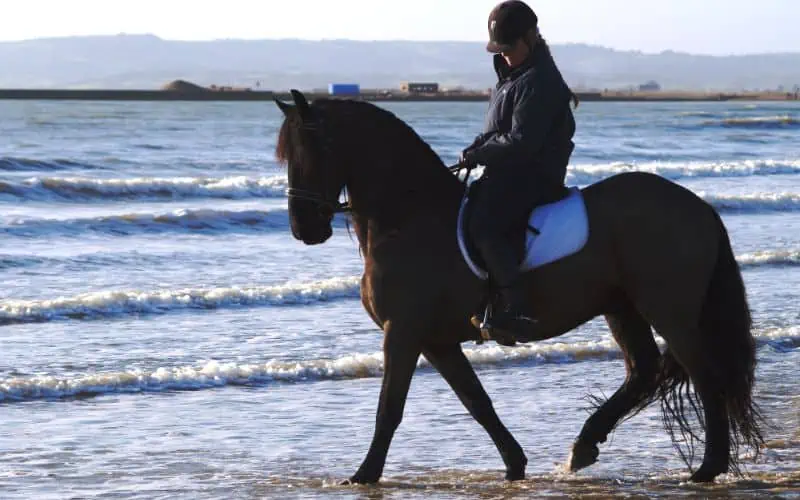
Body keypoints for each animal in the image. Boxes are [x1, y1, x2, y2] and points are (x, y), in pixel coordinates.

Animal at [272, 90, 764, 484]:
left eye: (313, 147)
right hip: (621, 306)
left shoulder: (404, 332)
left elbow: (389, 407)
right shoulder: (436, 340)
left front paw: (364, 475)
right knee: (644, 371)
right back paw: (584, 446)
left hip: (667, 308)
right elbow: (477, 401)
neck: (408, 217)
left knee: (704, 375)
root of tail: (698, 205)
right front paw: (514, 464)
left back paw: (707, 469)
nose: (303, 228)